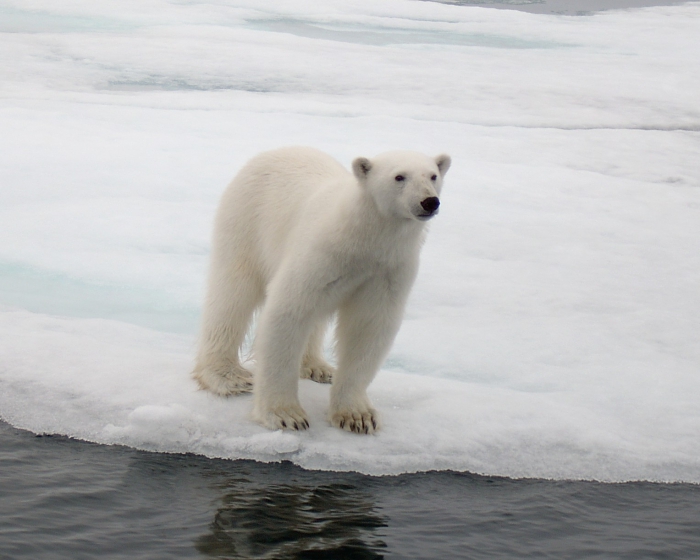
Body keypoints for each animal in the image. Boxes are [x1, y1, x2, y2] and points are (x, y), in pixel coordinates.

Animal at [194, 148, 452, 434]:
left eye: (433, 175)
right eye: (399, 176)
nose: (430, 201)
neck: (363, 235)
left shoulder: (388, 269)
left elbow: (369, 328)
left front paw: (357, 416)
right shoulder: (322, 252)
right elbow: (288, 311)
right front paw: (285, 415)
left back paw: (317, 367)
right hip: (245, 222)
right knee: (233, 294)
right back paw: (227, 376)